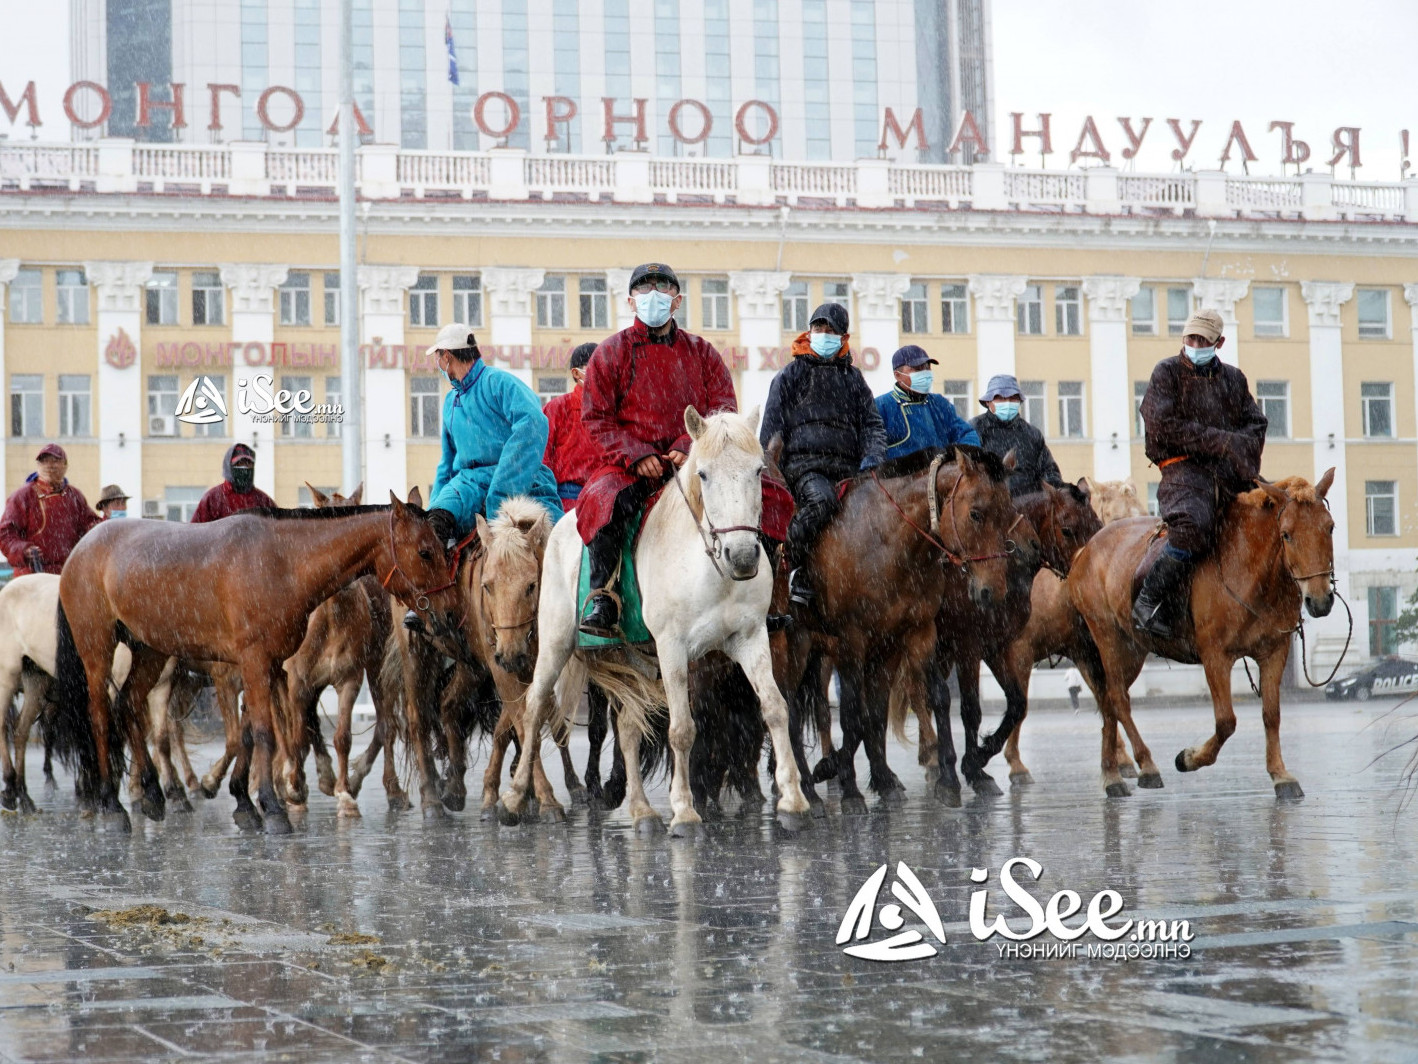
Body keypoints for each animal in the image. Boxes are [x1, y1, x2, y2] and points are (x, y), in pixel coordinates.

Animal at [47, 496, 459, 839]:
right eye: (425, 552)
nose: (449, 614)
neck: (282, 562)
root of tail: (81, 548)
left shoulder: (268, 666)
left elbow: (250, 734)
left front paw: (245, 804)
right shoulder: (255, 663)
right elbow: (266, 732)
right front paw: (274, 808)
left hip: (151, 652)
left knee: (130, 705)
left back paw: (153, 795)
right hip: (97, 651)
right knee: (101, 716)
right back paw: (113, 806)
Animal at [499, 405, 811, 834]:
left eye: (758, 471)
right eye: (703, 474)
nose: (744, 557)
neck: (712, 570)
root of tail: (560, 527)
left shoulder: (749, 639)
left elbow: (775, 709)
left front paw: (793, 802)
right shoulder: (674, 649)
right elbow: (682, 728)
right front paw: (685, 811)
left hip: (638, 659)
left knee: (628, 728)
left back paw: (642, 810)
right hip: (556, 644)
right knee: (534, 707)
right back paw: (515, 798)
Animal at [1066, 473, 1332, 800]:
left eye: (1330, 527)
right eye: (1287, 534)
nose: (1320, 601)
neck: (1248, 569)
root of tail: (1086, 550)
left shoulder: (1274, 651)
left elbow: (1272, 714)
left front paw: (1280, 775)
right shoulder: (1215, 656)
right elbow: (1226, 721)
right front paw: (1189, 758)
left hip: (1133, 648)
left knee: (1107, 703)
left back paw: (1112, 774)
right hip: (1109, 638)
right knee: (1117, 699)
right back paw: (1146, 766)